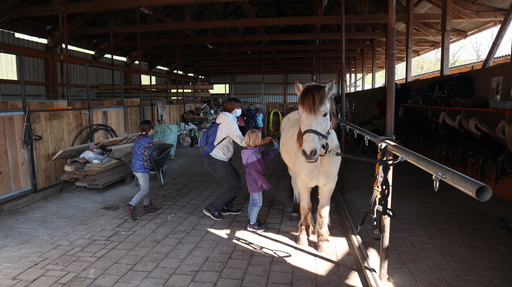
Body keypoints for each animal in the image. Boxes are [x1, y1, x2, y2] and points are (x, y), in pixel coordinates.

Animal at [280, 80, 340, 253]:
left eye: (325, 114)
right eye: (301, 114)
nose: (308, 152)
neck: (319, 157)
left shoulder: (329, 183)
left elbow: (322, 210)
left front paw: (323, 239)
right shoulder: (303, 181)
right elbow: (306, 207)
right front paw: (303, 234)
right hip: (292, 173)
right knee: (294, 186)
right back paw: (294, 211)